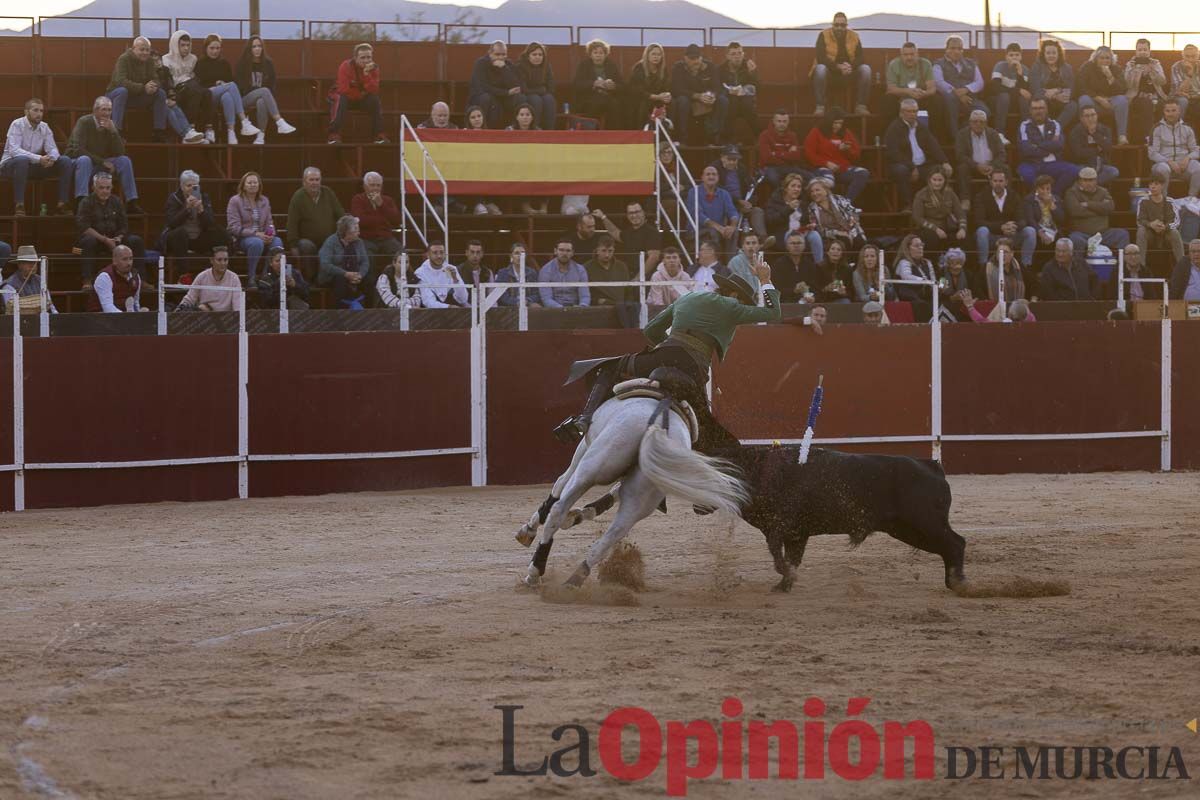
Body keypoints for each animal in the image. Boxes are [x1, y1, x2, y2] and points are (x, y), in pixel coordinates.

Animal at [518, 393, 748, 587]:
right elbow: (613, 493)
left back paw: (535, 572)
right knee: (613, 534)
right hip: (643, 494)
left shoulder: (583, 447)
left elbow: (559, 484)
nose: (704, 508)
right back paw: (574, 580)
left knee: (560, 507)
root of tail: (657, 425)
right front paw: (579, 515)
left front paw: (528, 529)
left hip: (592, 466)